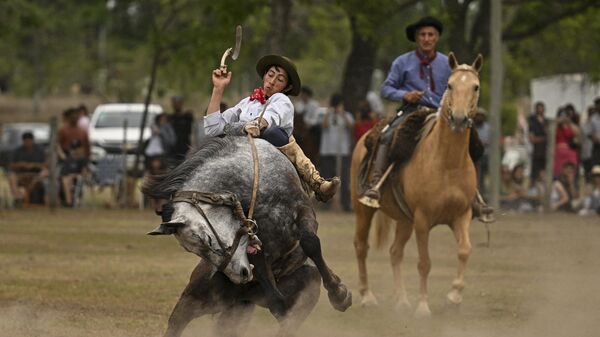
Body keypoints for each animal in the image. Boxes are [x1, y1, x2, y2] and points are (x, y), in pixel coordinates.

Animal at [142, 136, 352, 336]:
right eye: (192, 250)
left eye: (207, 239)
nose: (241, 275)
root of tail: (243, 296)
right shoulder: (257, 248)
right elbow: (278, 303)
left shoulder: (303, 211)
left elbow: (310, 242)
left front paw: (340, 295)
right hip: (196, 299)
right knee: (177, 323)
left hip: (299, 291)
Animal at [352, 51, 482, 316]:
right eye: (450, 85)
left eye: (475, 86)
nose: (459, 118)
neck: (447, 163)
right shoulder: (423, 219)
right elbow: (424, 263)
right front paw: (423, 307)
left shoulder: (461, 215)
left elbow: (464, 250)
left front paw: (454, 296)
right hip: (363, 209)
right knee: (361, 246)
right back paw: (367, 296)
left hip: (404, 219)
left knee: (395, 252)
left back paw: (401, 300)